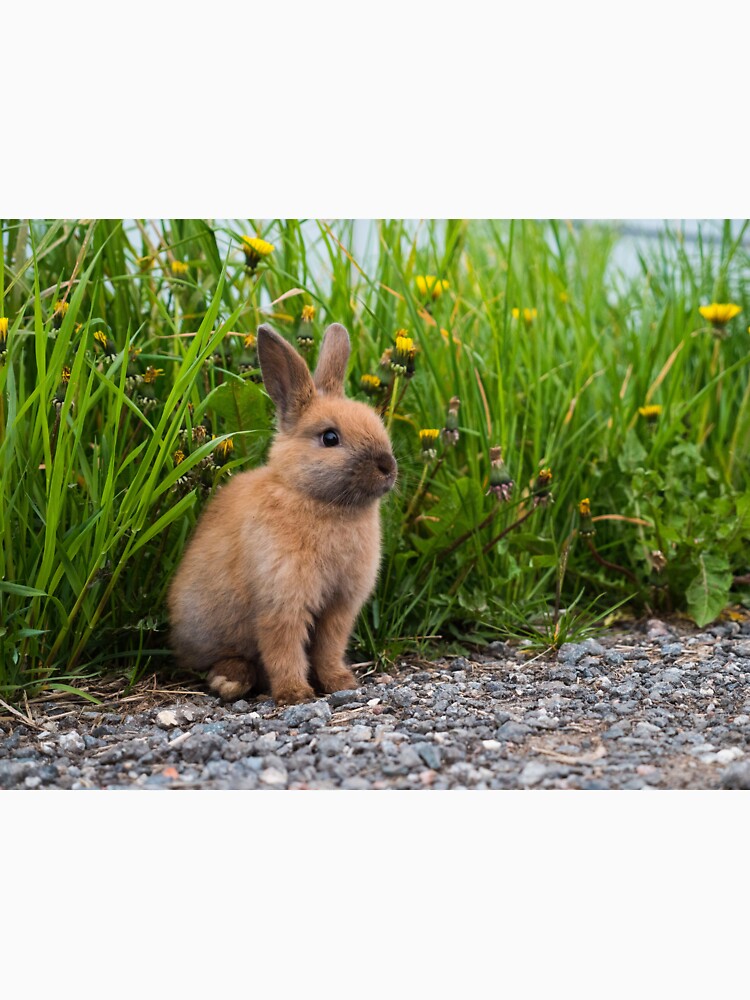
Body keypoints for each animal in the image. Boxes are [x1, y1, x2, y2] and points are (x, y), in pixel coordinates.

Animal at [167, 322, 398, 705]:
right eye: (330, 437)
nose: (388, 467)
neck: (316, 500)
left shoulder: (339, 607)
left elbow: (328, 648)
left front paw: (341, 683)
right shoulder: (281, 600)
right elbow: (284, 649)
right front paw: (295, 694)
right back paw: (229, 680)